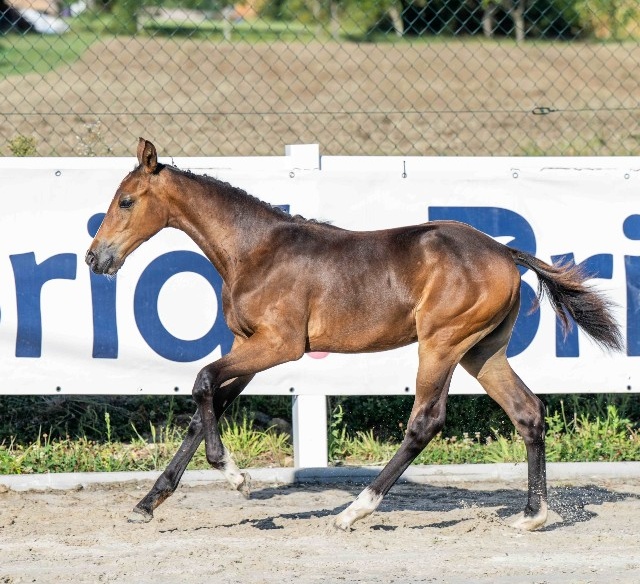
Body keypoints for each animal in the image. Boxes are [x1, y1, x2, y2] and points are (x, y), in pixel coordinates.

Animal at [86, 138, 623, 531]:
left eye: (126, 201)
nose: (95, 258)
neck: (255, 250)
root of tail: (504, 251)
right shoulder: (247, 345)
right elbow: (205, 410)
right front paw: (147, 502)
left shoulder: (280, 345)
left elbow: (200, 383)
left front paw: (234, 476)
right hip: (482, 351)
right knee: (527, 412)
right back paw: (532, 515)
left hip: (442, 343)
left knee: (426, 421)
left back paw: (355, 510)